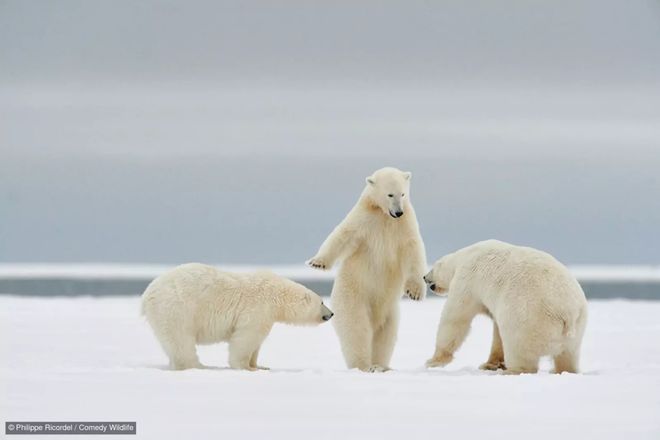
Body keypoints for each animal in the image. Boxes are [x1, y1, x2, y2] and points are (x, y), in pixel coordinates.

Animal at [141, 264, 332, 372]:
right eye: (322, 301)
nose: (331, 314)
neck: (277, 294)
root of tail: (147, 295)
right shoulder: (258, 308)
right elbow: (246, 337)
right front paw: (246, 367)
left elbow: (256, 343)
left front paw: (259, 365)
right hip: (176, 308)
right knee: (181, 340)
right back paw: (199, 366)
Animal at [308, 167, 428, 372]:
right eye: (390, 194)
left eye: (403, 193)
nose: (399, 212)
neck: (384, 216)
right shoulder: (364, 219)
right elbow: (343, 235)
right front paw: (317, 262)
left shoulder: (405, 225)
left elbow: (413, 251)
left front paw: (415, 292)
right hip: (354, 298)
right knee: (357, 330)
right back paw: (364, 365)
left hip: (390, 312)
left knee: (385, 337)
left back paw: (380, 365)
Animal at [426, 241, 592, 374]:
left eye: (432, 268)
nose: (424, 277)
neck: (467, 254)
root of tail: (567, 312)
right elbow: (497, 330)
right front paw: (490, 364)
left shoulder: (467, 280)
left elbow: (455, 318)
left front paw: (433, 361)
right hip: (577, 327)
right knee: (568, 355)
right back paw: (562, 370)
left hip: (528, 318)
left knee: (519, 348)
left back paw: (513, 370)